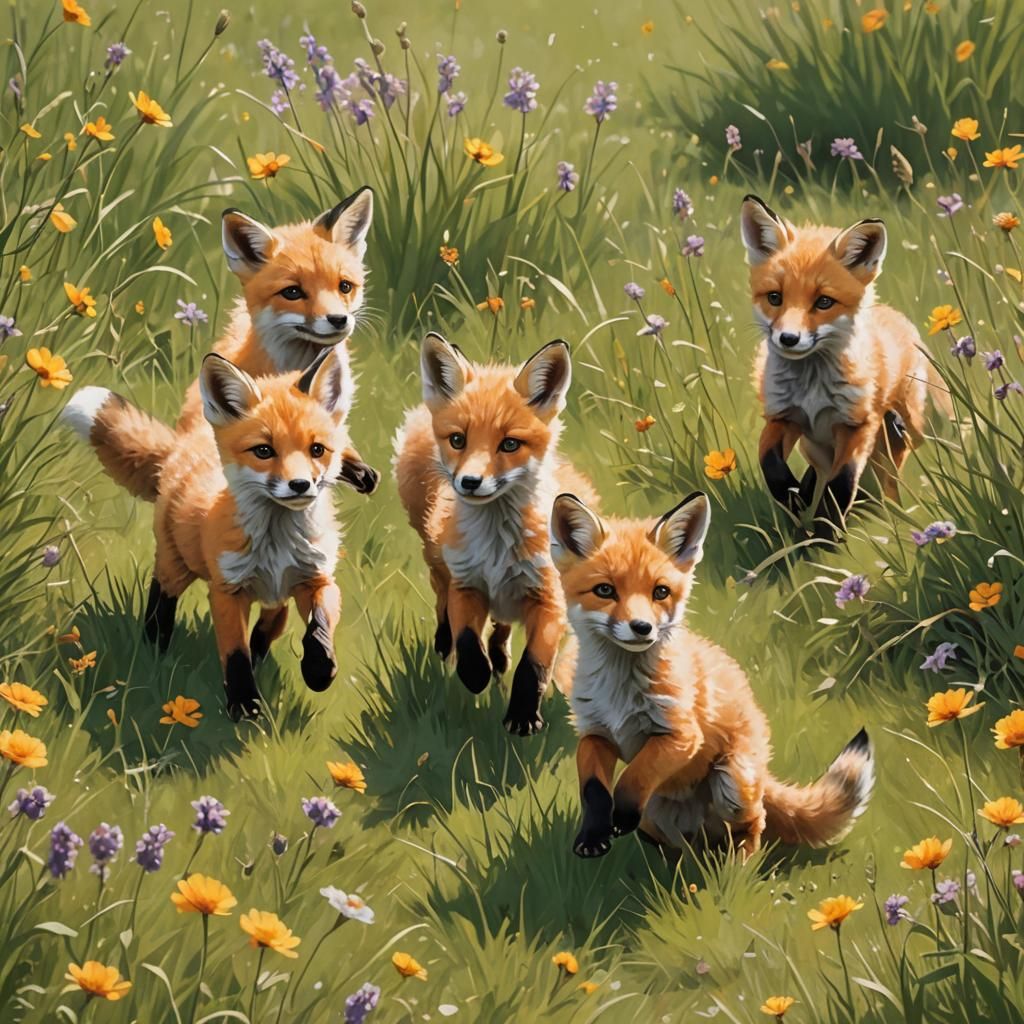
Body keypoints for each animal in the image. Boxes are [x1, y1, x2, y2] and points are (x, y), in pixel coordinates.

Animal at [61, 348, 362, 719]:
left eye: (317, 449)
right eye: (264, 451)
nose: (300, 485)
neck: (276, 544)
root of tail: (183, 446)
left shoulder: (316, 578)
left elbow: (319, 626)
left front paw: (319, 670)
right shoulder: (227, 590)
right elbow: (235, 655)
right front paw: (244, 705)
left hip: (275, 596)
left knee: (269, 625)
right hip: (176, 564)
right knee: (161, 603)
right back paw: (154, 653)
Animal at [393, 333, 596, 736]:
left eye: (510, 444)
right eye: (458, 440)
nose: (470, 482)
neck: (497, 546)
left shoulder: (549, 599)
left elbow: (533, 665)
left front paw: (522, 716)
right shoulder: (467, 584)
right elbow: (468, 640)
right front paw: (475, 676)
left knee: (502, 631)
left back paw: (500, 659)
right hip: (435, 560)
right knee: (442, 604)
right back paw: (449, 649)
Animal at [550, 490, 874, 858]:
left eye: (660, 592)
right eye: (605, 590)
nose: (642, 628)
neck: (620, 691)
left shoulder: (680, 735)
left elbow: (634, 777)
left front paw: (621, 815)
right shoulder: (596, 734)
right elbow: (593, 788)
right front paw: (593, 835)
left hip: (733, 782)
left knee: (755, 821)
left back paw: (737, 866)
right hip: (659, 814)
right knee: (676, 846)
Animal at [740, 194, 951, 538]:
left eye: (824, 302)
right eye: (774, 297)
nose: (788, 338)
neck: (812, 389)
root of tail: (899, 318)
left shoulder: (856, 426)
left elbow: (842, 484)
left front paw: (827, 534)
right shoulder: (782, 417)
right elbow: (770, 463)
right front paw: (794, 499)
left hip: (910, 426)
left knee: (891, 471)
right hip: (814, 446)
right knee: (822, 470)